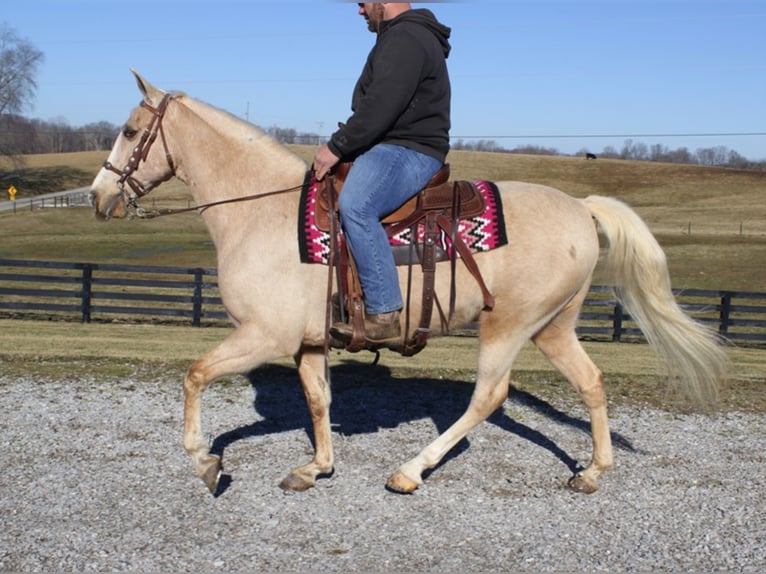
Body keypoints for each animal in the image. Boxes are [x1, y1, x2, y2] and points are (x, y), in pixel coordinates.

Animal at [87, 71, 728, 496]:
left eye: (130, 130)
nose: (97, 196)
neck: (262, 213)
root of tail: (580, 206)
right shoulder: (307, 343)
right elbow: (318, 399)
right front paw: (315, 467)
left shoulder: (263, 336)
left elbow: (195, 375)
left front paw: (205, 461)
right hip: (553, 328)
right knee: (592, 384)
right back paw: (592, 471)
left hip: (507, 326)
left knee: (487, 398)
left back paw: (410, 471)